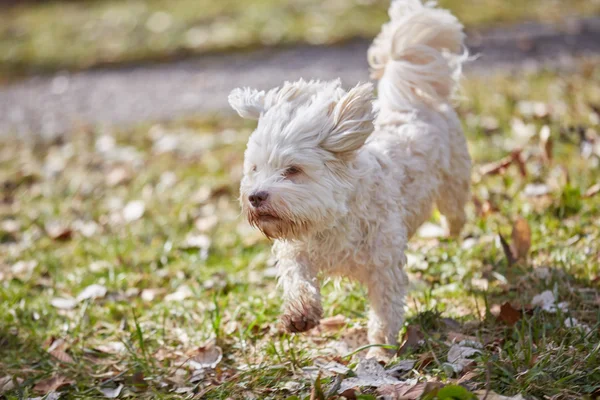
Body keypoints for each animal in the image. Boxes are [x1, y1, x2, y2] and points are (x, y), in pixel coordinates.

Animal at [227, 0, 472, 356]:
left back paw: (451, 230)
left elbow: (384, 311)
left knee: (456, 210)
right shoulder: (298, 250)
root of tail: (413, 100)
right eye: (255, 169)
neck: (331, 220)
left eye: (293, 170)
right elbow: (297, 276)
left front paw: (380, 351)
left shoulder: (384, 267)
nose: (255, 196)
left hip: (455, 180)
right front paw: (300, 313)